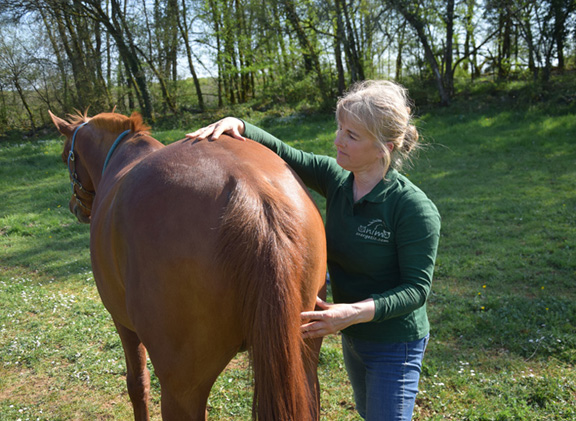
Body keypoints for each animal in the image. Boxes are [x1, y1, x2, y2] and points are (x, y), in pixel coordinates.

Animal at [49, 111, 326, 420]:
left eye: (65, 156)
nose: (74, 206)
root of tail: (251, 188)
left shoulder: (122, 323)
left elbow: (137, 384)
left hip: (182, 388)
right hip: (303, 362)